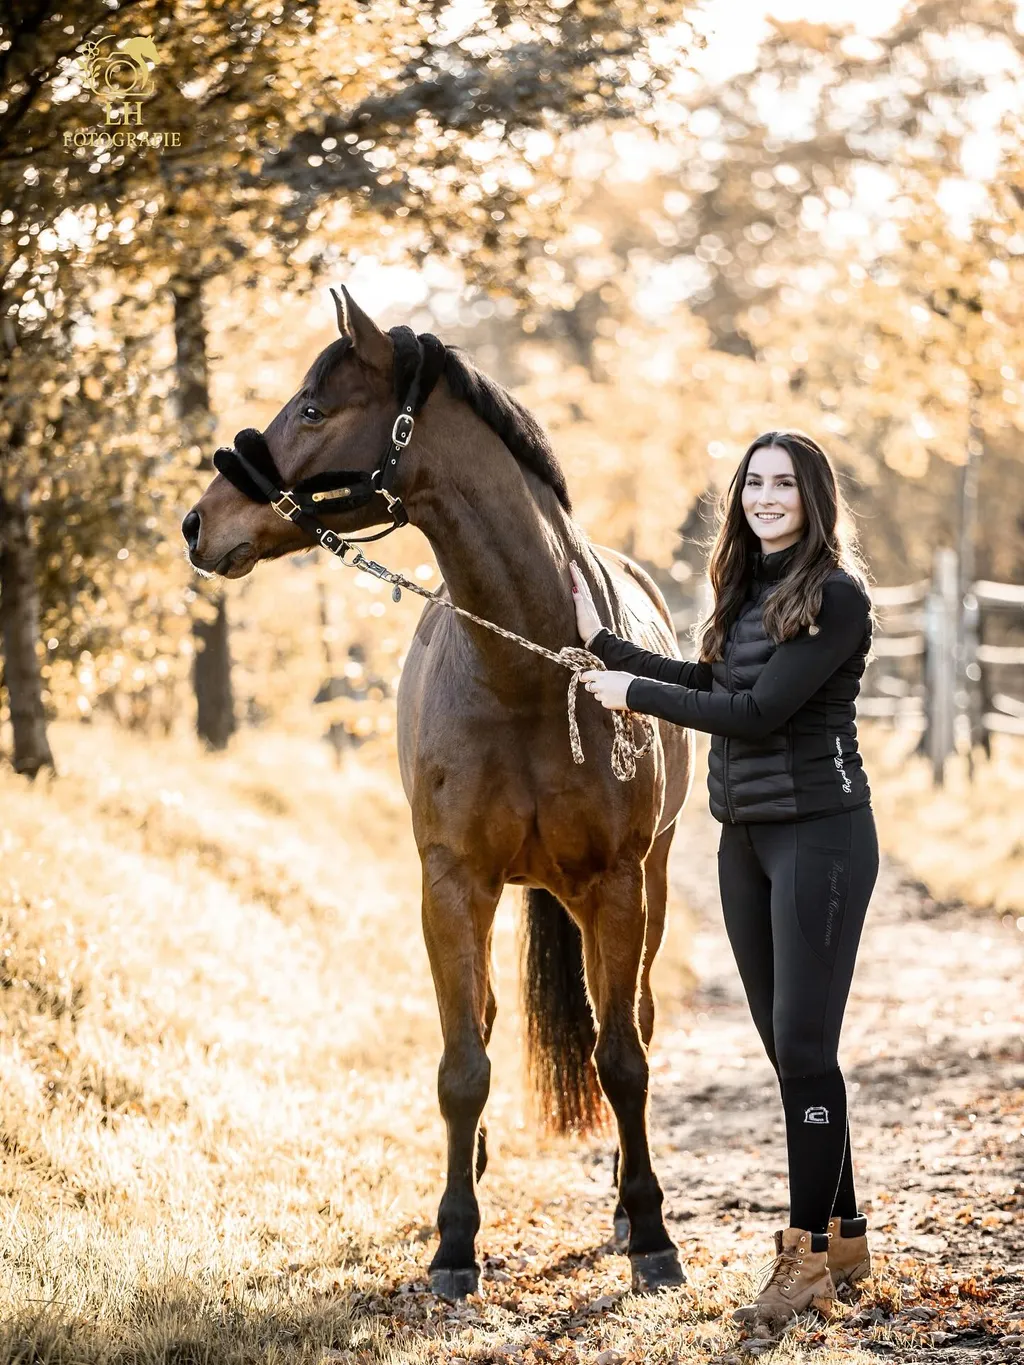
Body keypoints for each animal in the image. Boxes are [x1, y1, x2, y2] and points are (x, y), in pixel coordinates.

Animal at [182, 286, 695, 1298]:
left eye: (312, 410)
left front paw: (650, 1231)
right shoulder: (451, 884)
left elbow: (622, 1057)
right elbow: (464, 1061)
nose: (199, 522)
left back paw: (624, 1197)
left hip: (649, 880)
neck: (530, 671)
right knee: (486, 1021)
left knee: (637, 1018)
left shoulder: (616, 883)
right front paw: (456, 1240)